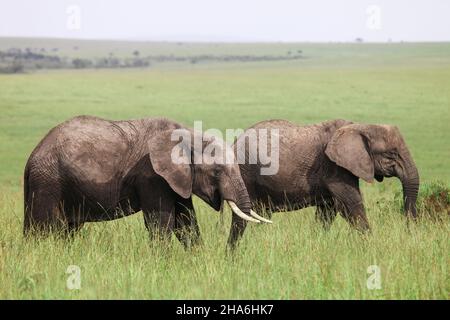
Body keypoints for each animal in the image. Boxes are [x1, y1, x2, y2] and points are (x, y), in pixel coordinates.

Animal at [23, 115, 270, 248]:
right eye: (217, 171)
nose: (226, 255)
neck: (189, 135)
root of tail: (32, 155)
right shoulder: (152, 176)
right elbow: (161, 222)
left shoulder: (176, 178)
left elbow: (186, 221)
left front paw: (199, 261)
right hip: (48, 181)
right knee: (43, 228)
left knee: (65, 229)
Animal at [232, 119, 418, 241]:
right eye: (391, 154)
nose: (409, 231)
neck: (360, 126)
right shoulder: (335, 167)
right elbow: (350, 204)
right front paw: (370, 246)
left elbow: (328, 210)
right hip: (246, 172)